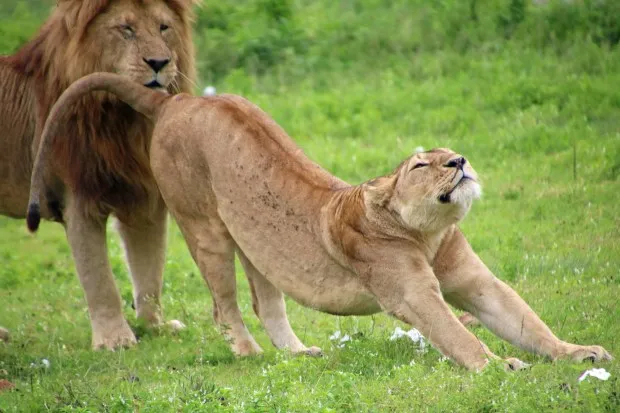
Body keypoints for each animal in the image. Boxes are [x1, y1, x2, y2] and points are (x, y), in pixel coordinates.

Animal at [0, 0, 196, 348]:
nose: (159, 63)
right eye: (126, 29)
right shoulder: (76, 199)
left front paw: (155, 327)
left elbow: (150, 270)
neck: (123, 121)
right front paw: (115, 340)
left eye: (163, 27)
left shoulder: (144, 196)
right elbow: (99, 277)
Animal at [27, 72, 612, 368]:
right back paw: (249, 354)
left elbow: (526, 321)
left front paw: (577, 352)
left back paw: (297, 353)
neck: (427, 233)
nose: (460, 162)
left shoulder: (476, 281)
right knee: (225, 306)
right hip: (205, 227)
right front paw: (497, 365)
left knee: (266, 301)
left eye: (449, 153)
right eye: (421, 165)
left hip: (256, 243)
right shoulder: (411, 295)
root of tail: (180, 101)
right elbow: (455, 334)